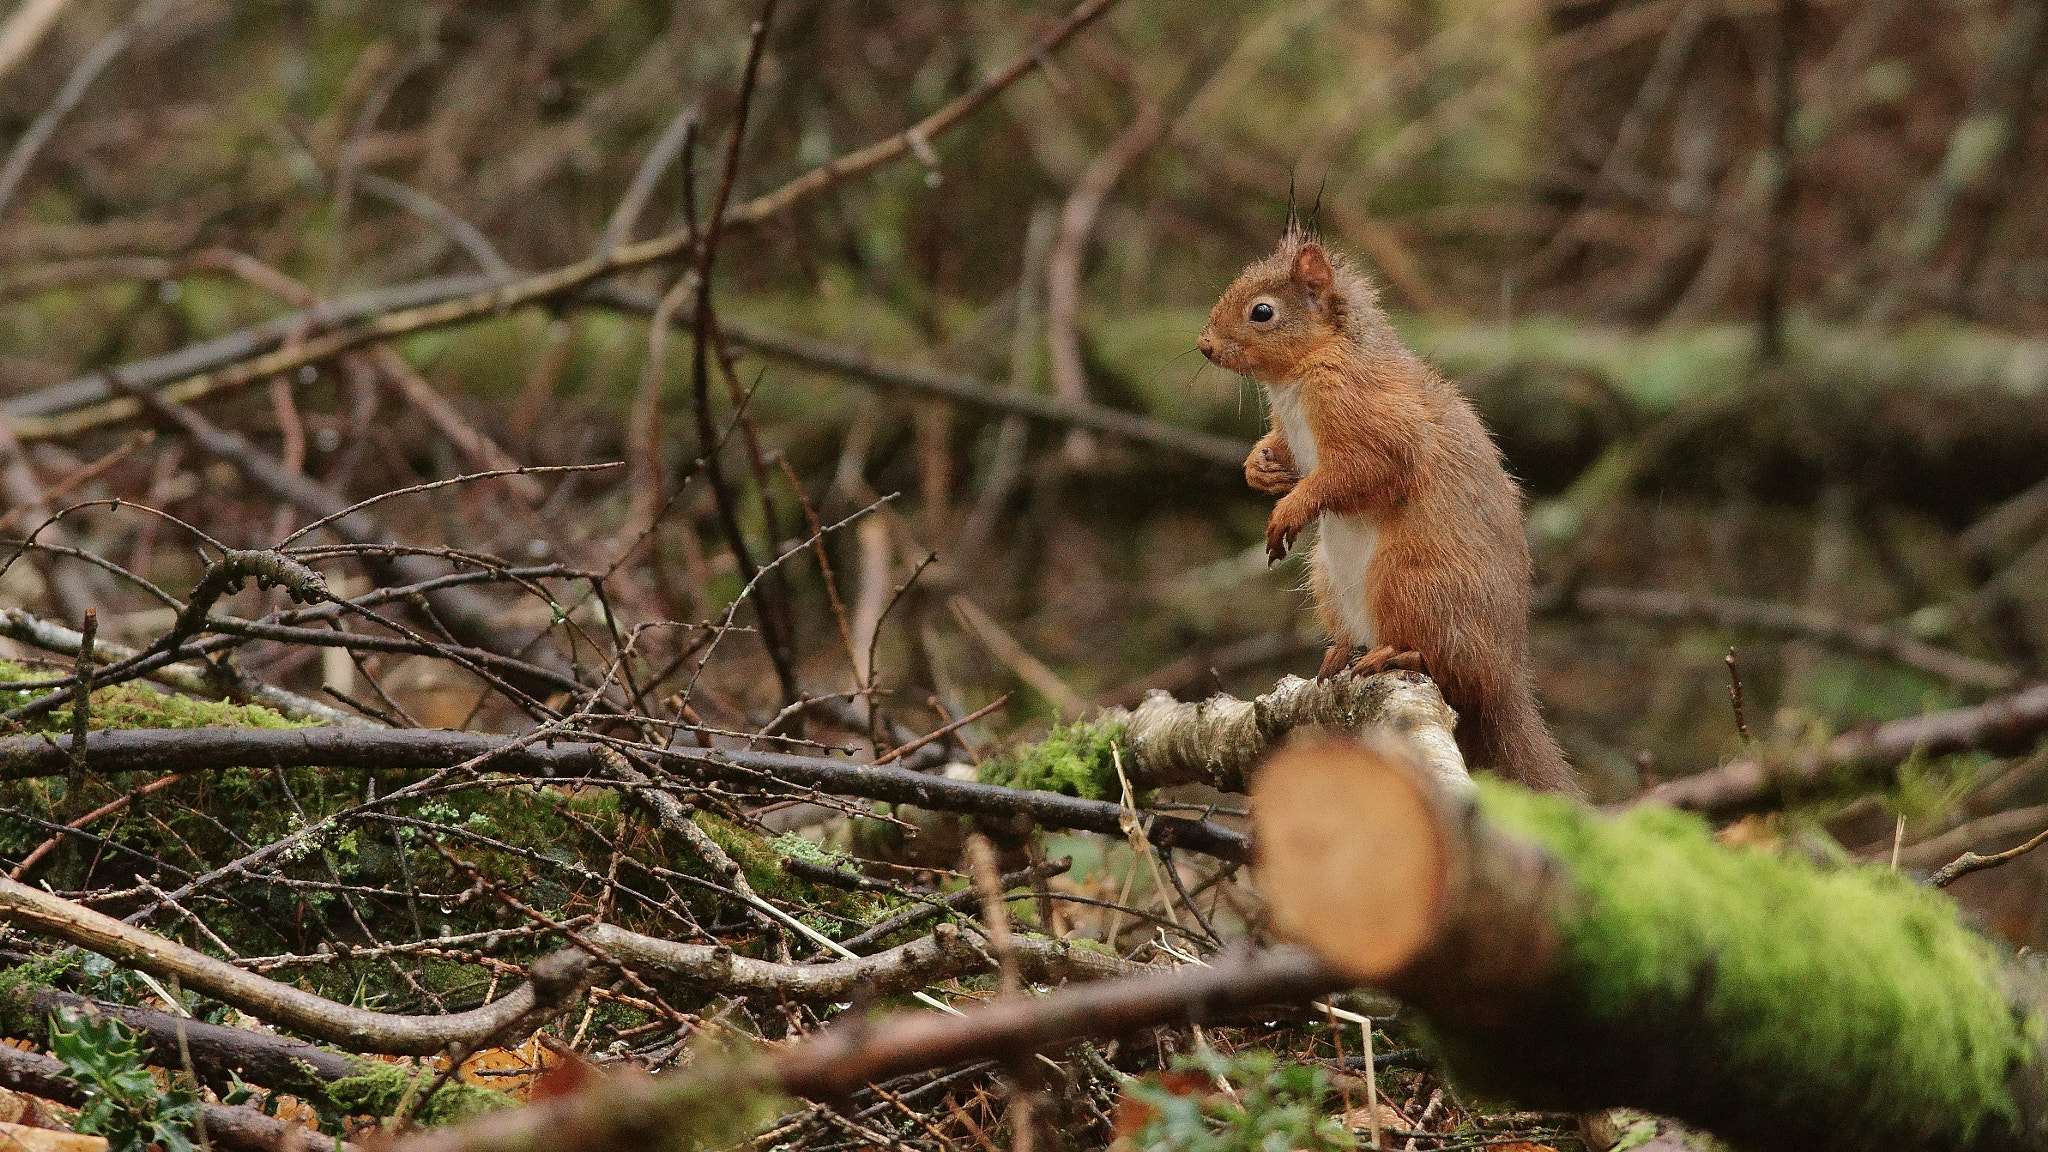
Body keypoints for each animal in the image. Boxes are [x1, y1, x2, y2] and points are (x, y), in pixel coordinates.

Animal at [1196, 224, 1572, 787]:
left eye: (1262, 312)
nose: (1204, 345)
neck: (1300, 376)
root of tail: (1507, 677)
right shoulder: (1292, 427)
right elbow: (1281, 448)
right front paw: (1260, 468)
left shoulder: (1367, 414)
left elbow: (1365, 469)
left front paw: (1290, 507)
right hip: (1329, 578)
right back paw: (1338, 652)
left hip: (1408, 580)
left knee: (1449, 669)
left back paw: (1400, 653)